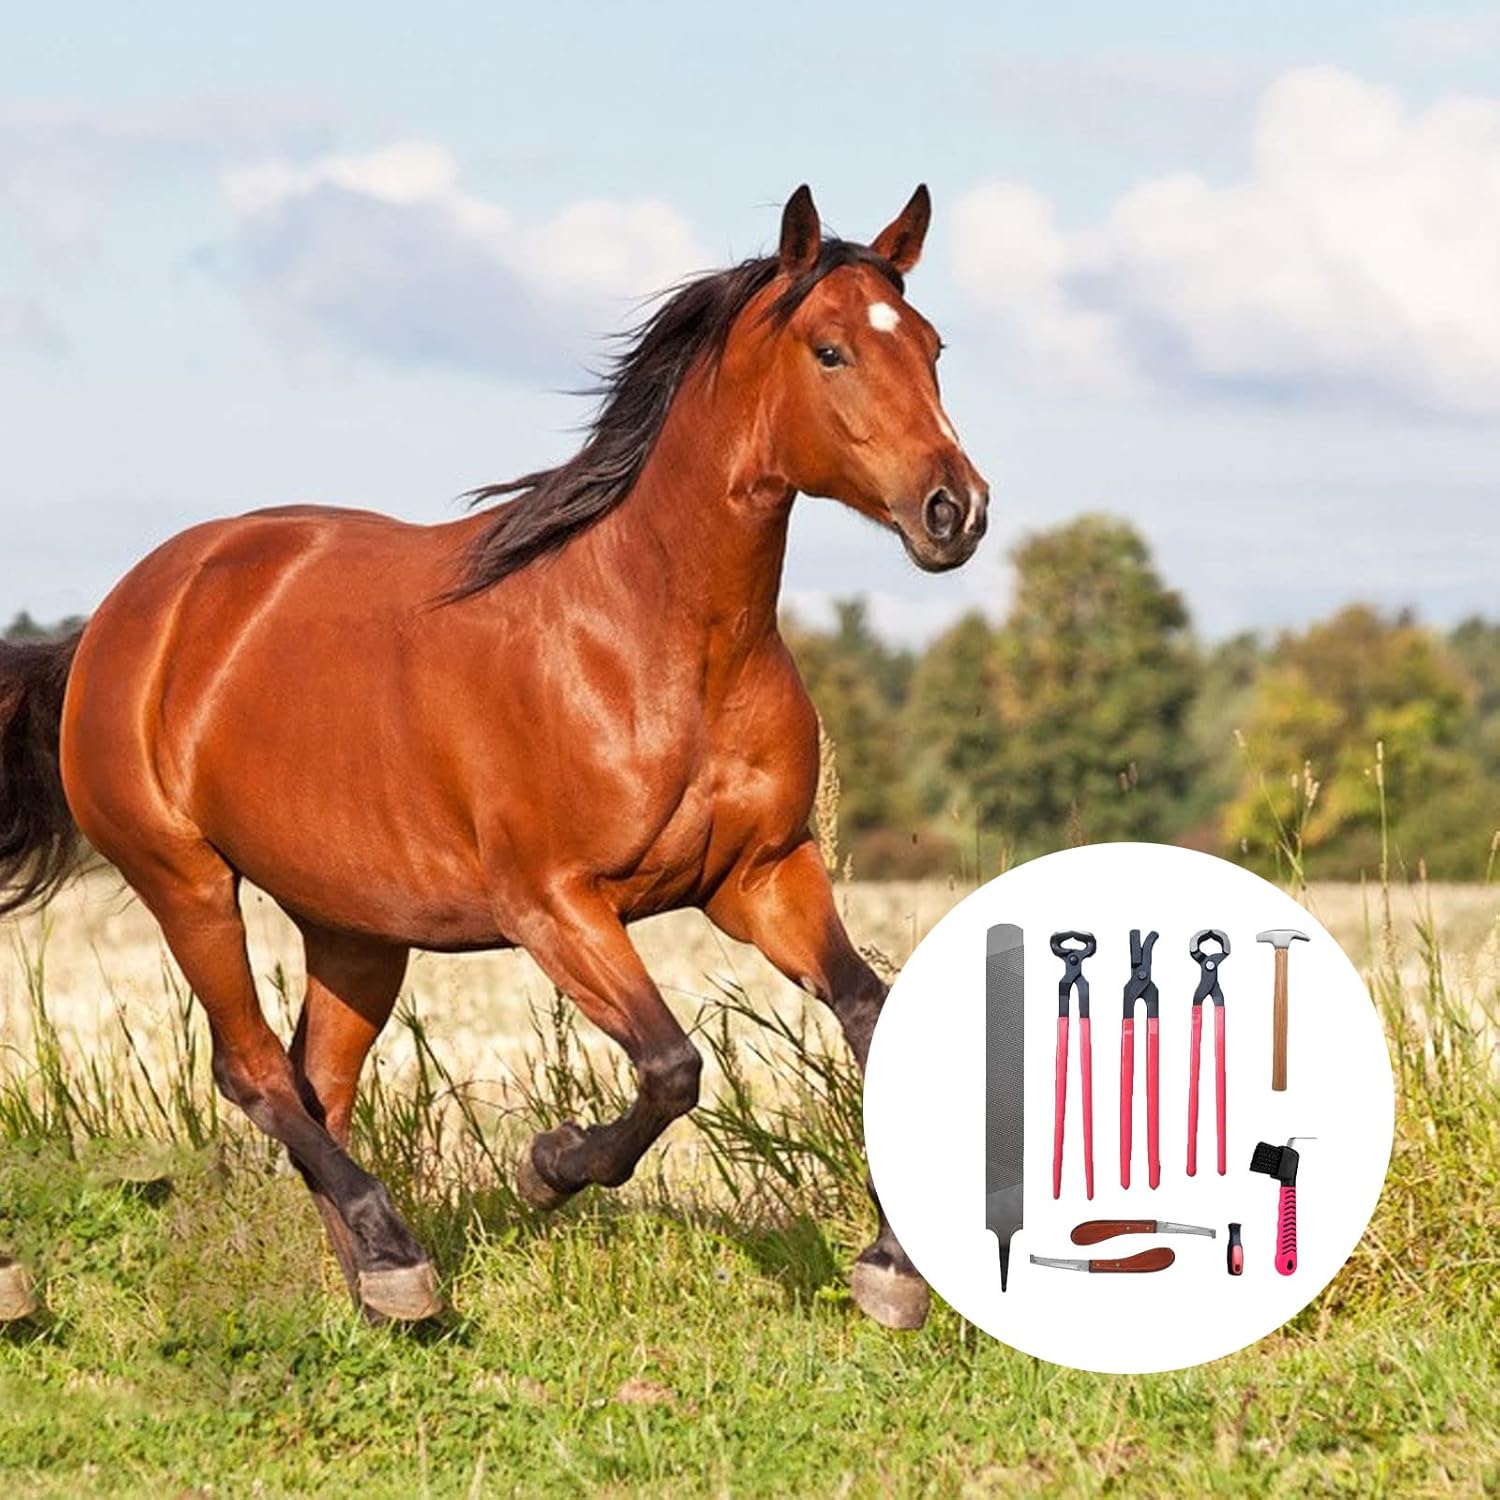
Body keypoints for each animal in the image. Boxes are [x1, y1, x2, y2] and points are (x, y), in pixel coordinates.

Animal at [0, 184, 988, 1330]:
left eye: (932, 344)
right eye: (830, 350)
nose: (956, 510)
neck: (659, 640)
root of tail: (120, 619)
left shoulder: (762, 878)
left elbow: (872, 1018)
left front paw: (892, 1268)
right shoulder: (554, 903)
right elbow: (671, 1066)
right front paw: (550, 1166)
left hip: (355, 930)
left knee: (315, 1084)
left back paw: (381, 1287)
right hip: (187, 882)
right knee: (251, 1072)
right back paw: (393, 1254)